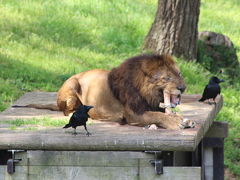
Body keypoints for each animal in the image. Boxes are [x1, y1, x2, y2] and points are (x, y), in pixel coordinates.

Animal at [55, 54, 191, 129]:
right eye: (166, 78)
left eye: (179, 74)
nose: (182, 88)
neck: (149, 95)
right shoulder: (133, 113)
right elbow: (156, 115)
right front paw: (175, 122)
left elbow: (166, 113)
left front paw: (184, 120)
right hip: (72, 87)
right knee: (66, 111)